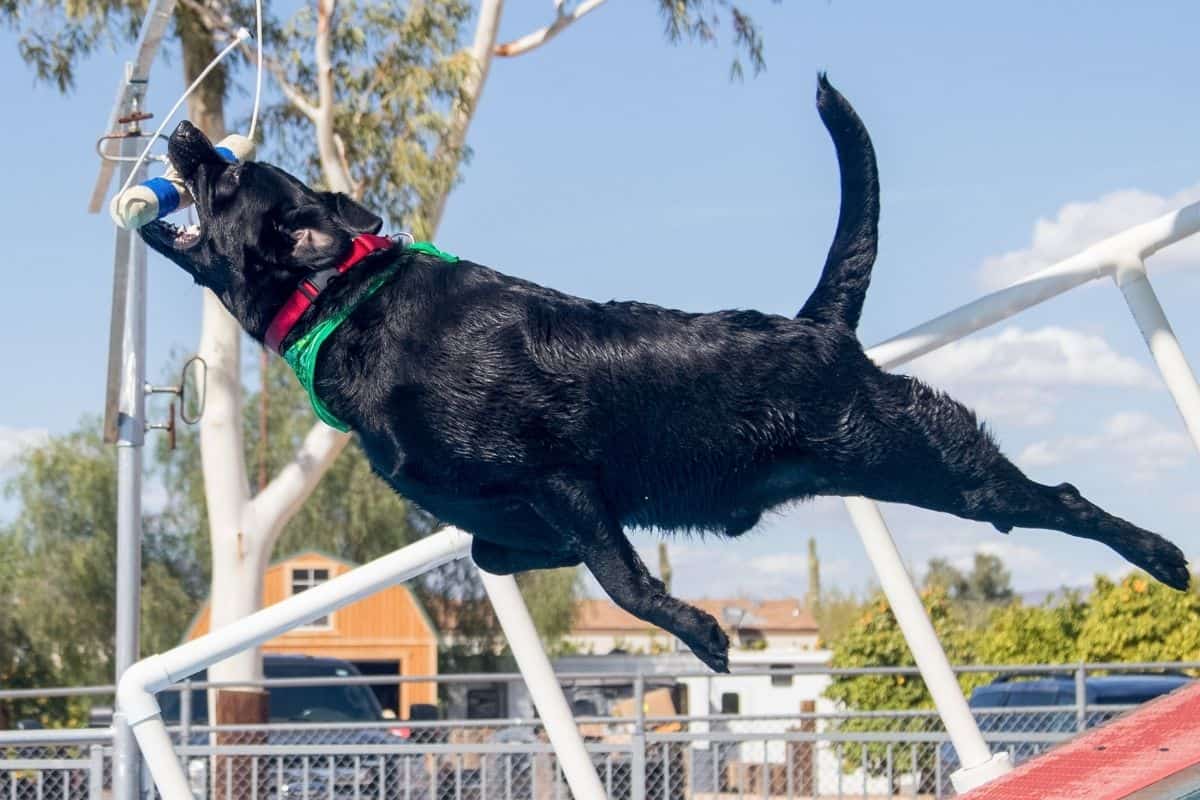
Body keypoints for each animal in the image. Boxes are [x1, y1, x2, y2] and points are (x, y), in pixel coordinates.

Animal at [142, 77, 1190, 671]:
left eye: (226, 180)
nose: (185, 132)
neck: (348, 302)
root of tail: (819, 327)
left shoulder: (564, 476)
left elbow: (621, 579)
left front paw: (702, 632)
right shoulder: (525, 509)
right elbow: (496, 551)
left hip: (933, 460)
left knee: (1056, 498)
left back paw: (1162, 556)